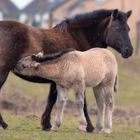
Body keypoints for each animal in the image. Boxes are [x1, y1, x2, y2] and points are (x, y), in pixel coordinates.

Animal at [0, 9, 133, 132]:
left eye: (128, 29)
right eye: (116, 28)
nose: (129, 51)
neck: (77, 36)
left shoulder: (58, 80)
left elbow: (52, 99)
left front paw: (47, 124)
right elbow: (81, 102)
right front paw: (88, 126)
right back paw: (4, 124)